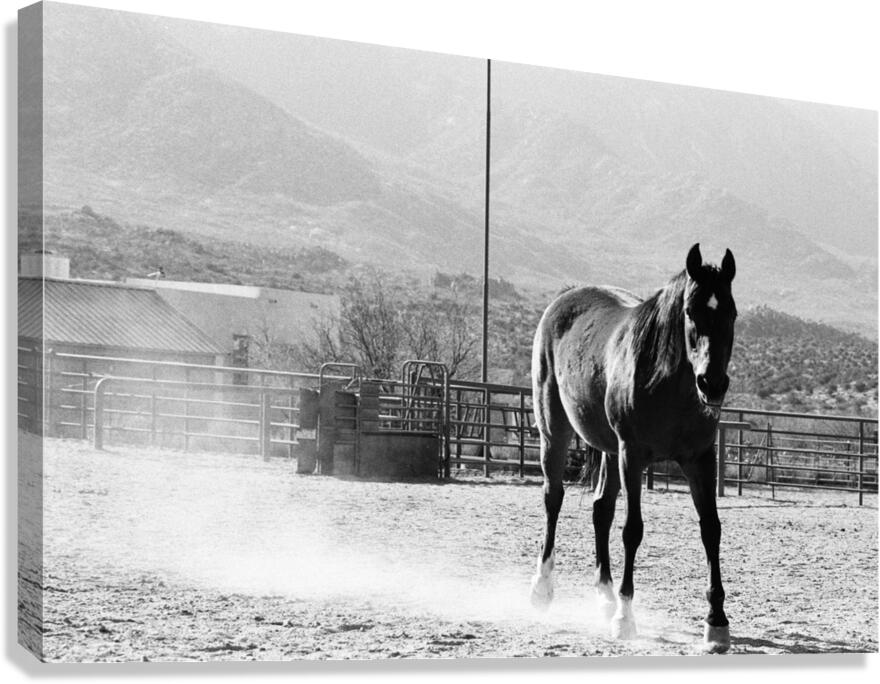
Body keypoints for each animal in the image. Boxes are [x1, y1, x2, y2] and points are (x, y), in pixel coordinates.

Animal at [529, 243, 737, 654]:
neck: (666, 382)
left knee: (600, 510)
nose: (712, 383)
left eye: (732, 313)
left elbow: (711, 529)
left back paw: (605, 598)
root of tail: (564, 299)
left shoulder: (700, 459)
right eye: (691, 312)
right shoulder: (633, 454)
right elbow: (632, 530)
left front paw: (716, 622)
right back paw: (542, 589)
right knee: (553, 499)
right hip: (555, 432)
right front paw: (626, 618)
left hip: (609, 451)